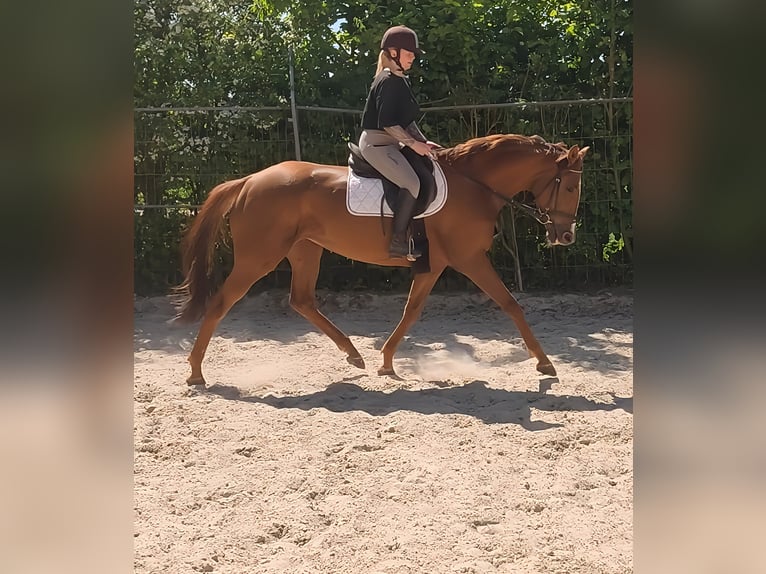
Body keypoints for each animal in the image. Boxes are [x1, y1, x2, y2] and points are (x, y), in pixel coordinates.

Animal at [173, 133, 589, 386]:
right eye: (570, 186)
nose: (566, 236)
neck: (473, 185)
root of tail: (249, 180)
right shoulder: (469, 258)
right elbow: (510, 304)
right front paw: (545, 363)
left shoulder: (434, 265)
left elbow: (411, 311)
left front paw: (386, 361)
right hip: (258, 258)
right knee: (221, 303)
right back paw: (195, 372)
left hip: (306, 249)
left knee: (302, 300)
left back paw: (354, 355)